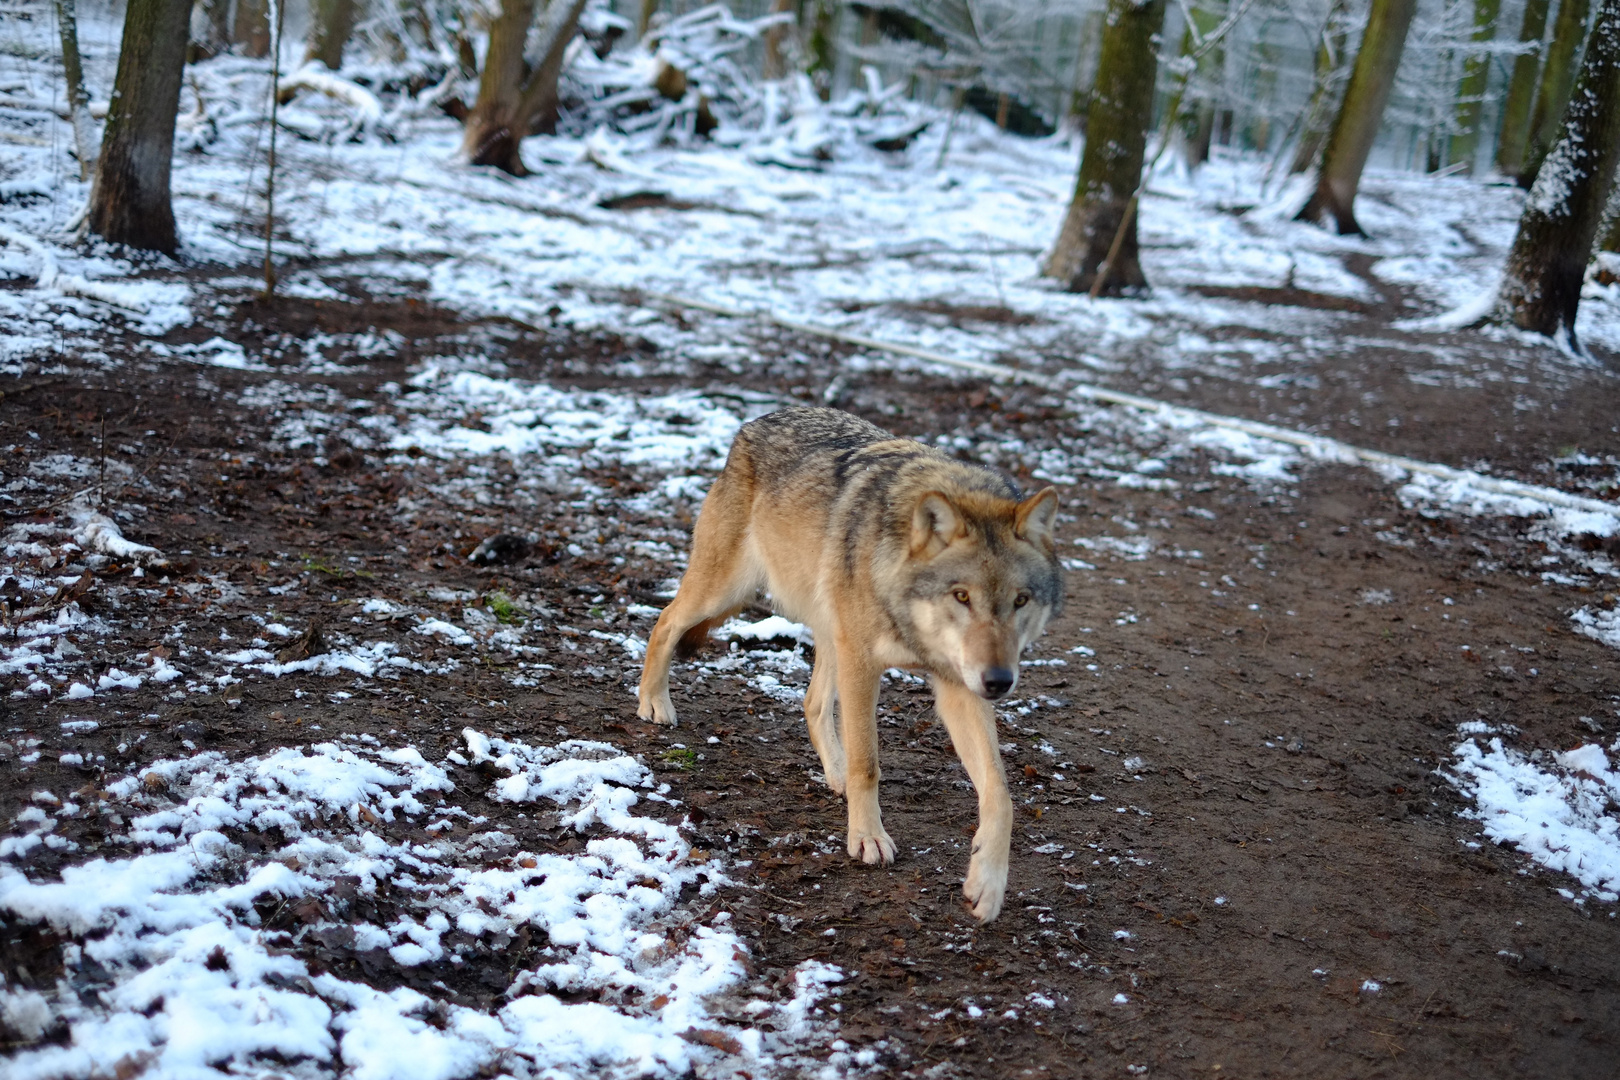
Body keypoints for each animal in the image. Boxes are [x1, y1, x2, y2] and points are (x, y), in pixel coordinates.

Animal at [631, 404, 1062, 919]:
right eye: (962, 596)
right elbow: (867, 763)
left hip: (826, 629)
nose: (999, 681)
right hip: (728, 592)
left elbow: (1001, 793)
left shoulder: (959, 686)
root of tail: (758, 420)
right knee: (665, 621)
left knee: (812, 704)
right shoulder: (864, 665)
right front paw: (868, 838)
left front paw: (988, 883)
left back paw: (832, 773)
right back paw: (654, 703)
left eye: (1020, 601)